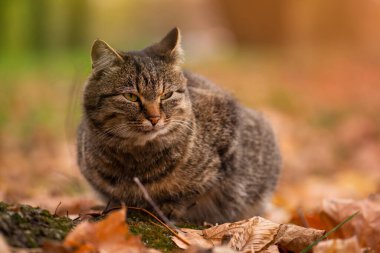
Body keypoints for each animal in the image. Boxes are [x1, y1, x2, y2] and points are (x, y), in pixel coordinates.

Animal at [77, 26, 280, 222]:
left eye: (166, 95)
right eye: (131, 96)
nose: (154, 118)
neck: (135, 160)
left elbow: (192, 192)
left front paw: (169, 207)